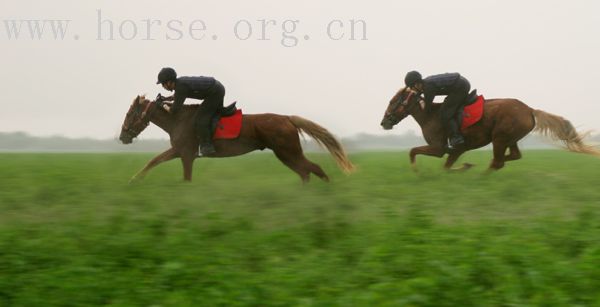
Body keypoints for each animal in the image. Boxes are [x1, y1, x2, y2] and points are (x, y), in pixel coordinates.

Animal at [119, 95, 354, 183]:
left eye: (130, 114)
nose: (122, 136)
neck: (178, 119)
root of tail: (287, 118)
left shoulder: (184, 153)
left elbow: (179, 174)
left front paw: (133, 180)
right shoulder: (181, 153)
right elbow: (154, 161)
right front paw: (134, 180)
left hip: (287, 151)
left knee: (313, 169)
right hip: (287, 154)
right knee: (305, 172)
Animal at [380, 87, 600, 171]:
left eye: (392, 101)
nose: (384, 122)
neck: (430, 115)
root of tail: (530, 109)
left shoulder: (439, 148)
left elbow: (413, 152)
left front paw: (416, 171)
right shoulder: (455, 150)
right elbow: (446, 167)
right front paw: (465, 166)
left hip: (500, 138)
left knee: (498, 162)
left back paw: (481, 176)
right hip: (509, 139)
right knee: (508, 158)